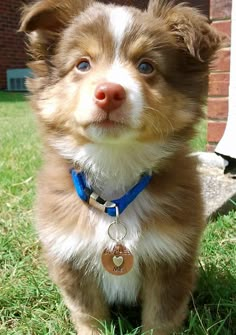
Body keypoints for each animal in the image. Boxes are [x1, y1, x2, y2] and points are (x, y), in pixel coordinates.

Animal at [19, 1, 221, 334]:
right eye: (82, 65)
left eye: (146, 66)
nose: (109, 93)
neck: (114, 165)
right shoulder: (71, 259)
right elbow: (89, 316)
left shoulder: (171, 260)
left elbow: (161, 318)